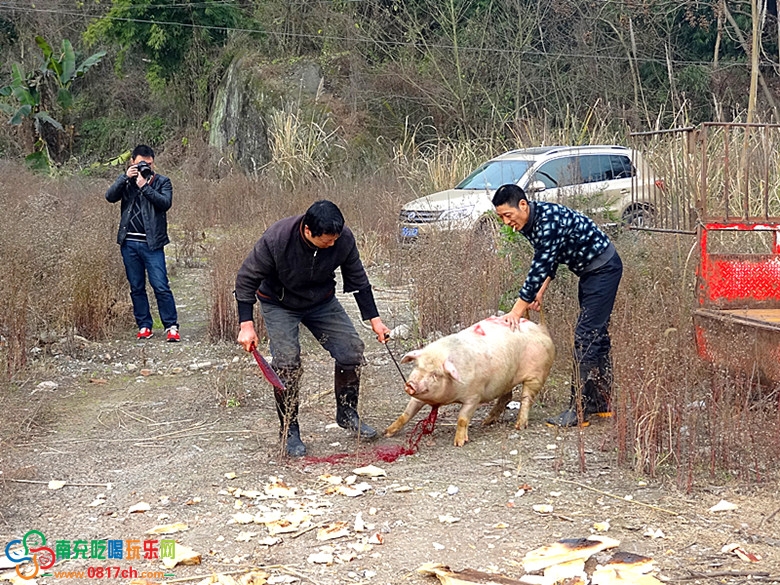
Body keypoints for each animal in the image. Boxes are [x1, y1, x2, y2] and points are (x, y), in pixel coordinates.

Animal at [384, 318, 556, 444]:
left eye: (436, 374)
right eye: (417, 366)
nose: (411, 385)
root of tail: (541, 328)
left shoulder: (474, 396)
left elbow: (462, 418)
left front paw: (458, 443)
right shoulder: (420, 397)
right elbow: (407, 413)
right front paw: (387, 432)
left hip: (536, 375)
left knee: (526, 399)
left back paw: (519, 426)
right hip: (507, 379)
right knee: (507, 397)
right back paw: (486, 422)